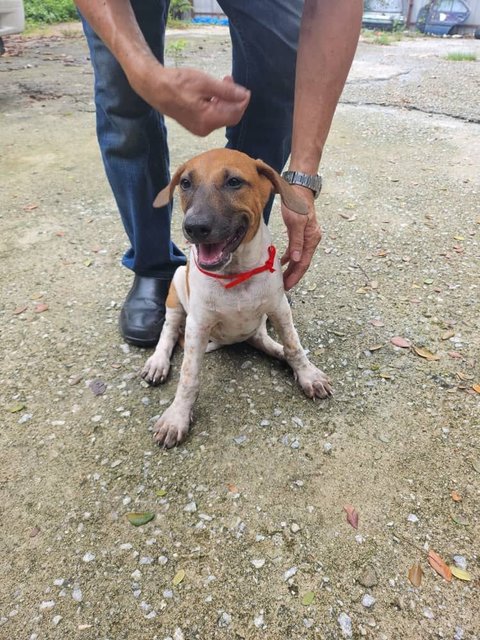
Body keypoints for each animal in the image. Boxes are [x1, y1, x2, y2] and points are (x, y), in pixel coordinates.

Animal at [141, 148, 332, 448]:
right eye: (185, 183)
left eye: (234, 182)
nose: (194, 227)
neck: (236, 273)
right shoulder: (197, 326)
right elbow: (189, 376)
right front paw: (177, 417)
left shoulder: (279, 308)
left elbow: (294, 346)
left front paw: (307, 374)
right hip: (176, 285)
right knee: (169, 331)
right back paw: (157, 362)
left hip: (258, 322)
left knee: (262, 340)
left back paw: (280, 354)